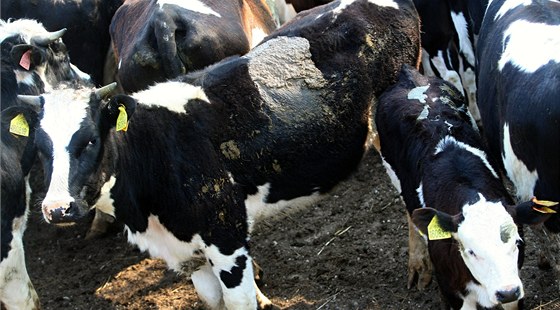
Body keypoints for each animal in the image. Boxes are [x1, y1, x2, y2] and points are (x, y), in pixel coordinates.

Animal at [18, 0, 420, 308]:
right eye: (39, 148)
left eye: (89, 140)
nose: (57, 209)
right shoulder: (189, 255)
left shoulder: (227, 242)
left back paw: (420, 269)